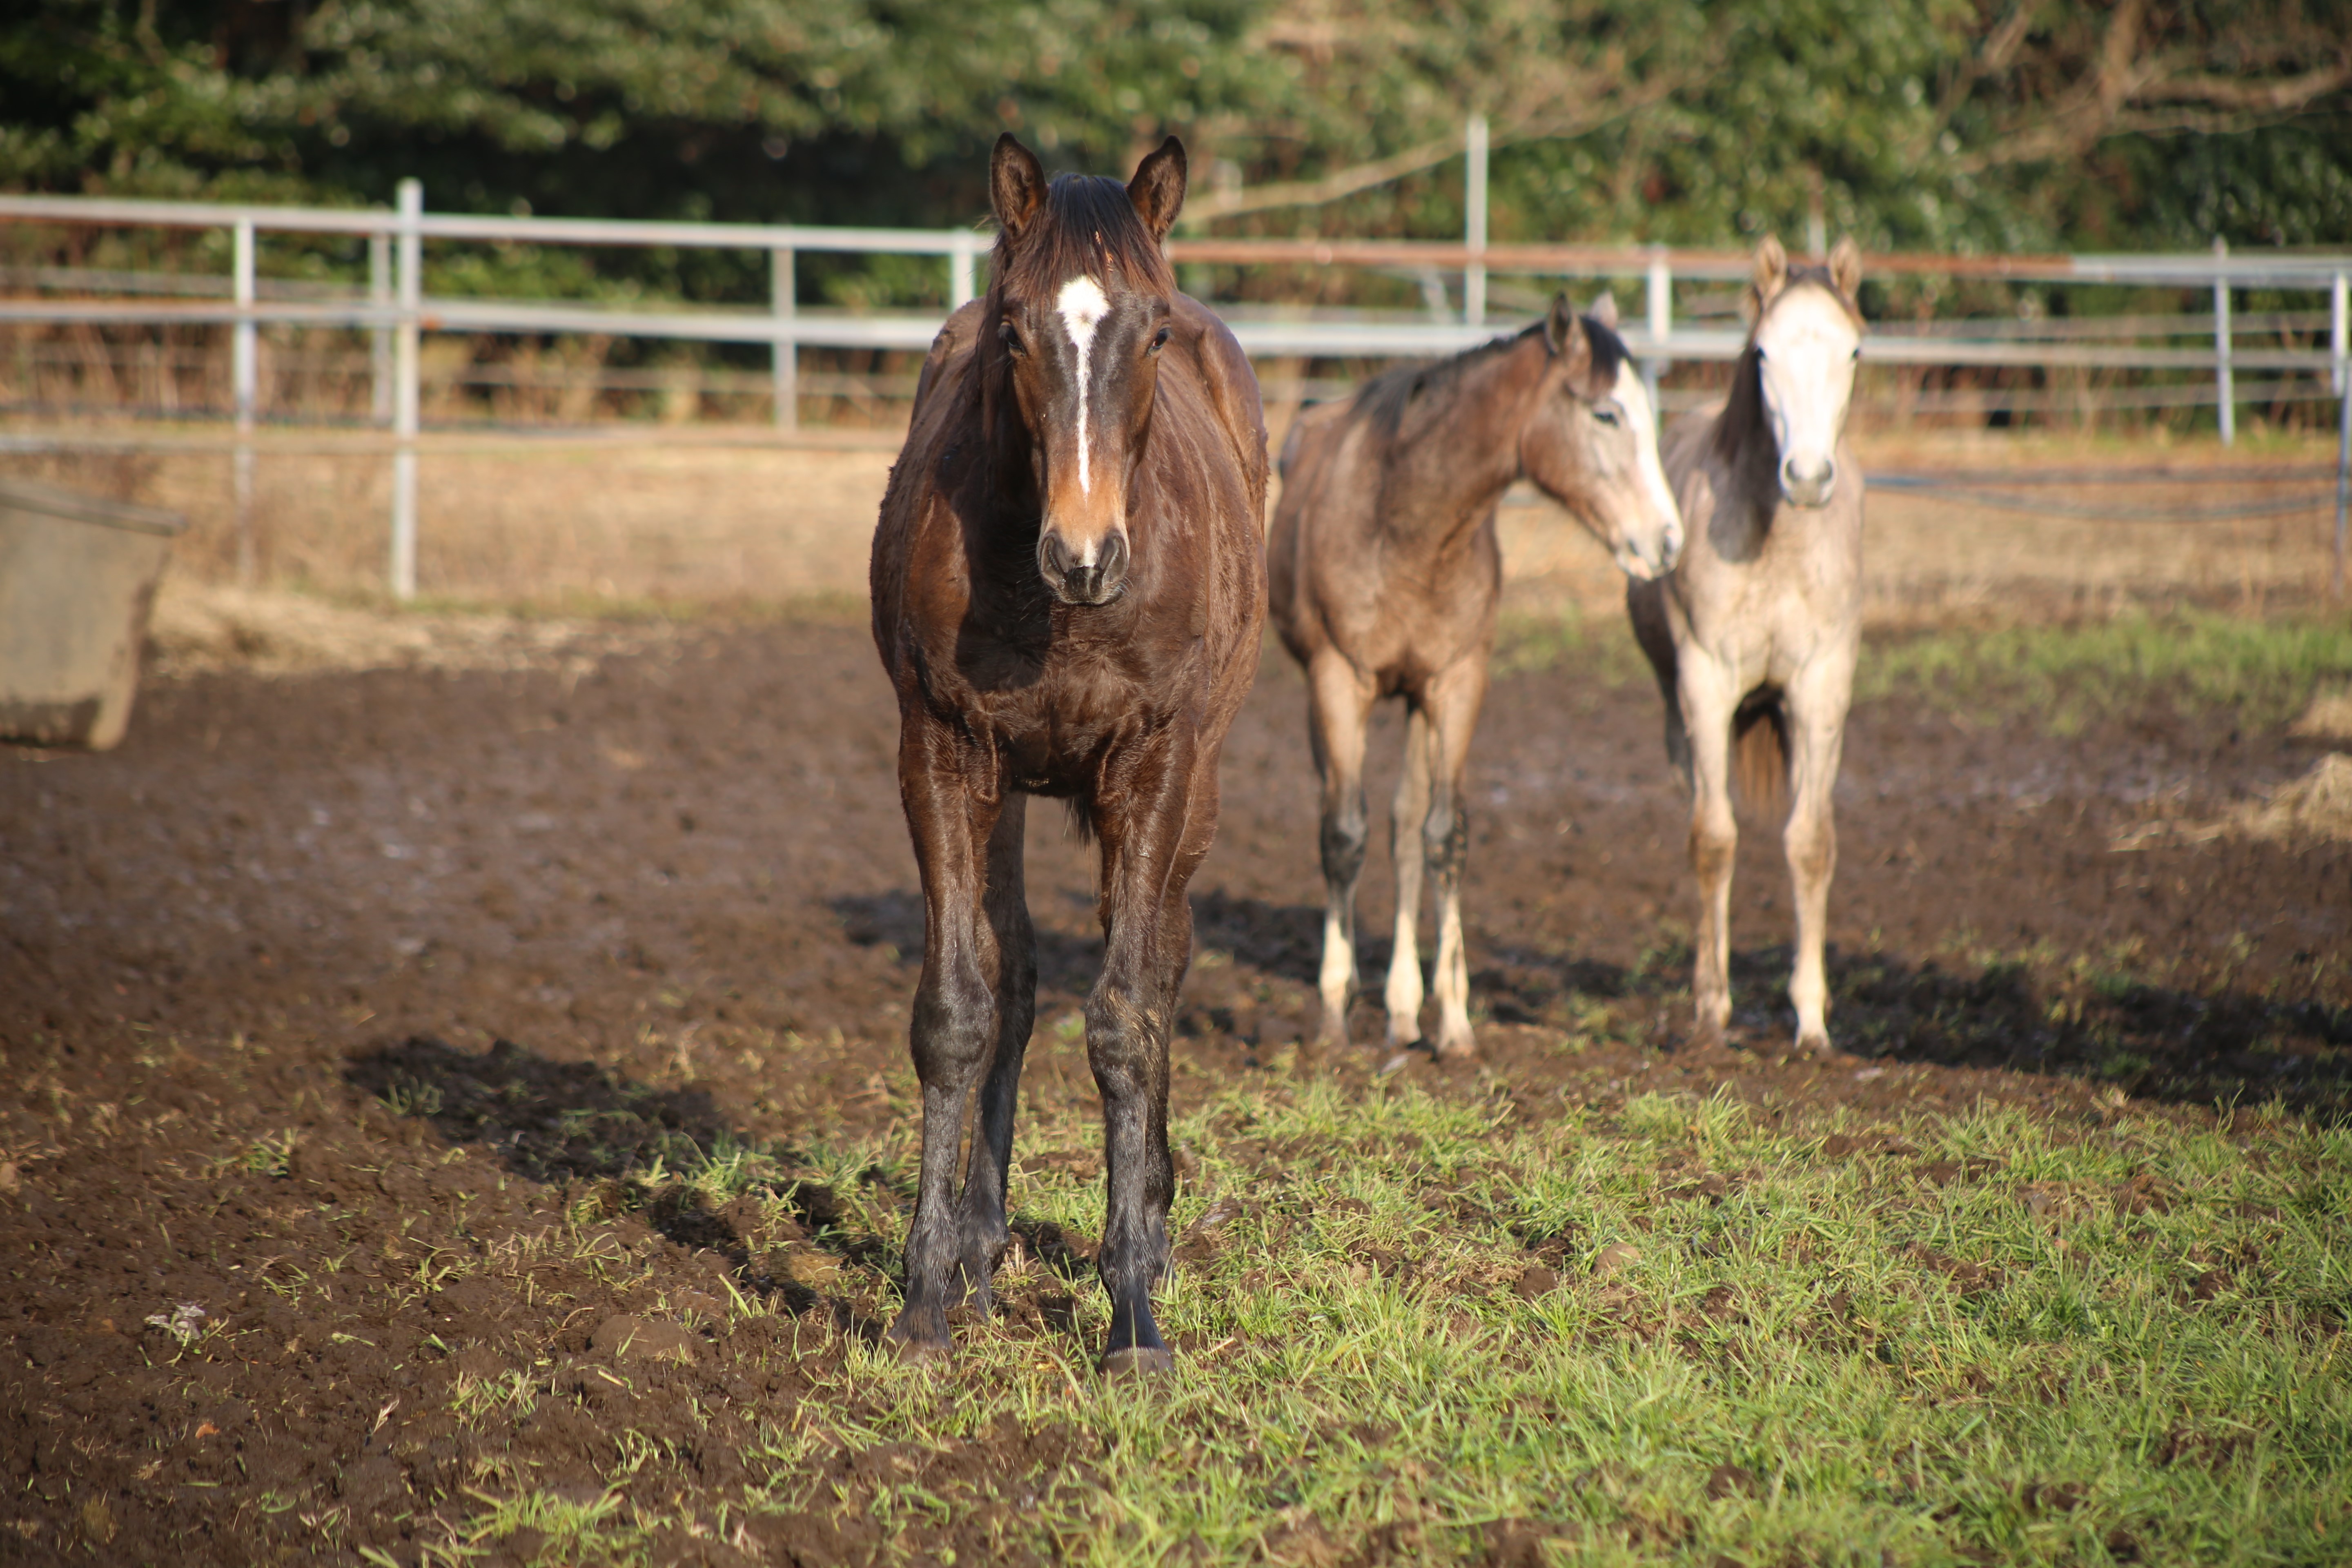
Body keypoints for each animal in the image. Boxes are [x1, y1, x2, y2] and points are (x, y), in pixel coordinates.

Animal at [870, 131, 1270, 1373]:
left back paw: (1153, 1223)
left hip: (1199, 786)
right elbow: (962, 1010)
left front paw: (1132, 1308)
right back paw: (980, 1248)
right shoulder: (943, 751)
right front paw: (925, 1299)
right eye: (1014, 332)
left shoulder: (1155, 764)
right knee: (1022, 977)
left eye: (1152, 333)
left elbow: (1128, 1019)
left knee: (1163, 959)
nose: (1083, 555)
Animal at [1270, 292, 1693, 1062]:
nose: (1666, 542)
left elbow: (1443, 835)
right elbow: (1344, 836)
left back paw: (1404, 1011)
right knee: (1343, 819)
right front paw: (1333, 1017)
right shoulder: (1339, 681)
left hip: (1416, 702)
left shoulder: (1457, 684)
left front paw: (1455, 1021)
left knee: (1406, 826)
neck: (1407, 523)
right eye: (1605, 414)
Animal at [1627, 232, 1862, 1053]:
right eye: (1763, 352)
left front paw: (1813, 1020)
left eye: (1854, 351)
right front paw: (1709, 1008)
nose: (1809, 477)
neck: (1775, 543)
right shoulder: (1705, 683)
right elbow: (1714, 839)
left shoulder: (1821, 686)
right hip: (1685, 713)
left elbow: (1812, 843)